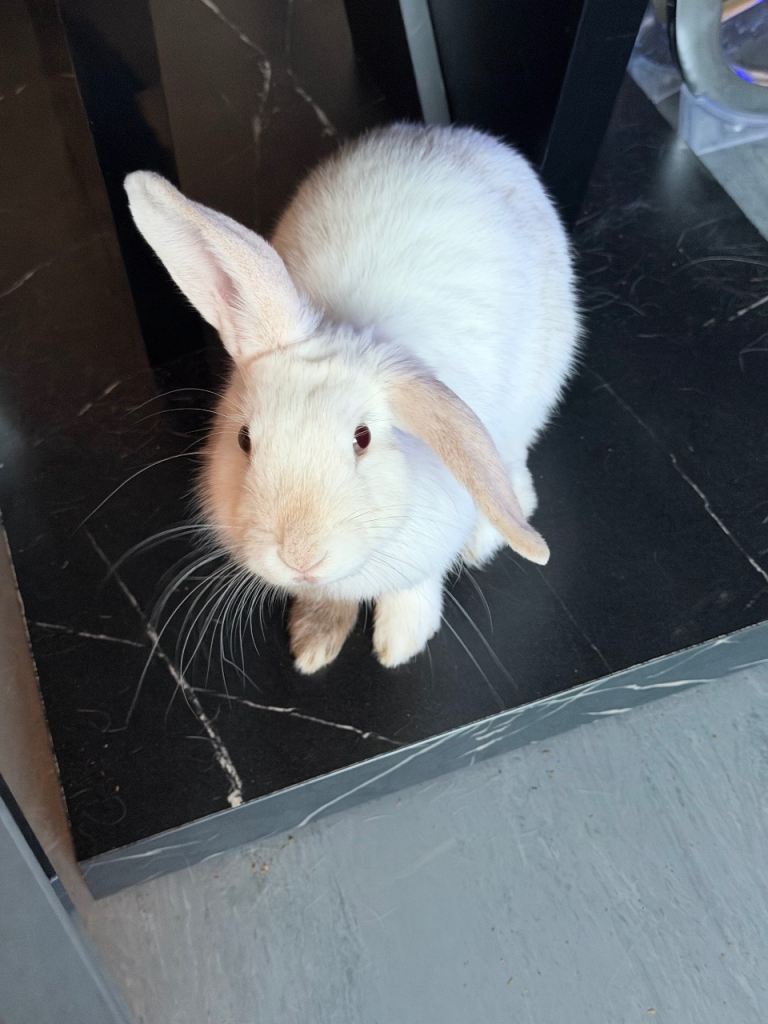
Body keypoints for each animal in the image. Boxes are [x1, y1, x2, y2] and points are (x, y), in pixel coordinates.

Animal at [124, 122, 579, 674]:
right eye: (244, 440)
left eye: (362, 438)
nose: (301, 557)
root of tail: (457, 134)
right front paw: (313, 641)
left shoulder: (425, 553)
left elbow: (414, 588)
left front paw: (400, 644)